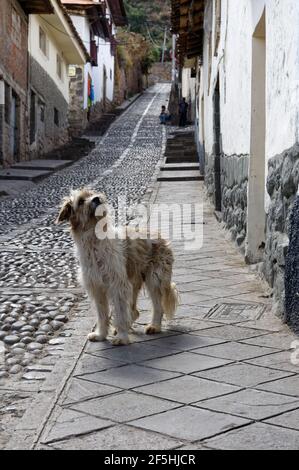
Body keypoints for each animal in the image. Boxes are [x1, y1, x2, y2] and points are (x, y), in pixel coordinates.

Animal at [56, 187, 178, 346]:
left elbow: (120, 312)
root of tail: (161, 237)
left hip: (154, 279)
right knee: (134, 311)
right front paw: (101, 334)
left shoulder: (118, 285)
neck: (94, 240)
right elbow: (102, 315)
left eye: (92, 193)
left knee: (157, 306)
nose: (96, 198)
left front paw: (121, 337)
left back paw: (154, 326)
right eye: (81, 201)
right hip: (134, 282)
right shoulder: (96, 288)